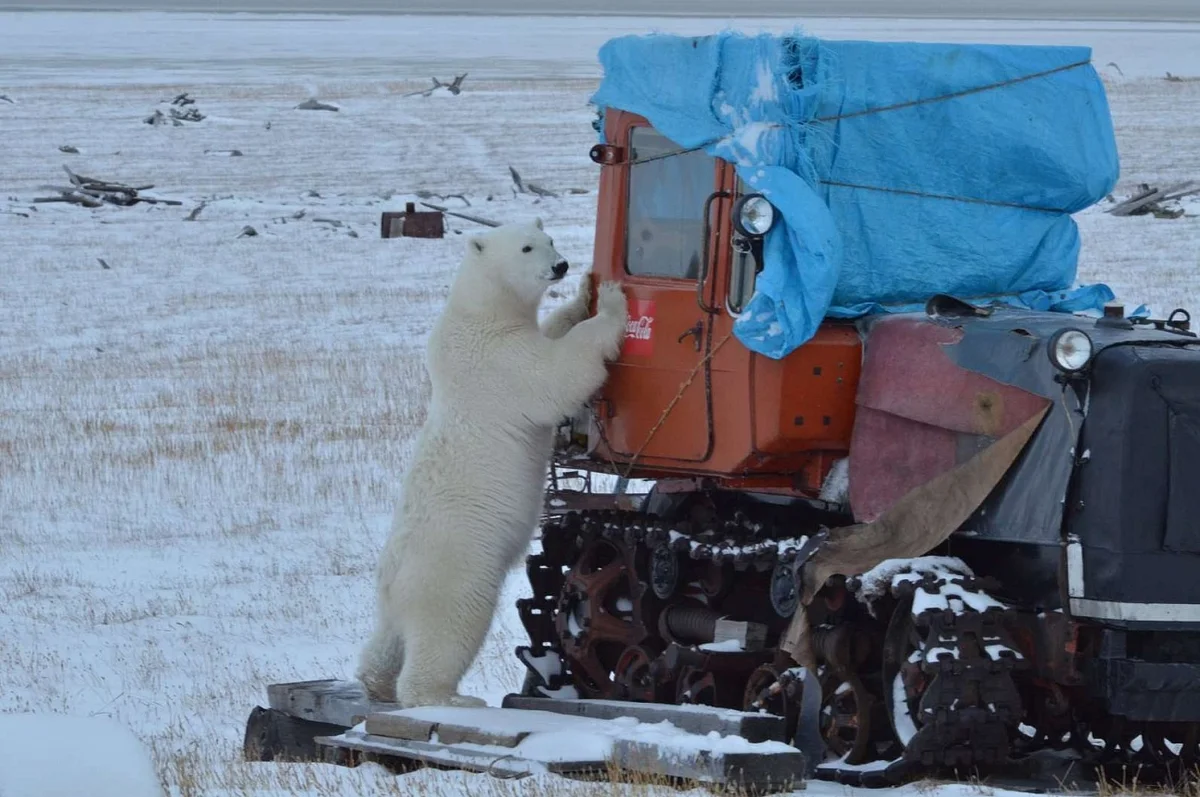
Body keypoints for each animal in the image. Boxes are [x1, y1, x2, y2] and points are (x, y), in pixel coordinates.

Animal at [355, 218, 628, 710]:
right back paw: (446, 697)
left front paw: (582, 295)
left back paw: (375, 682)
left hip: (394, 594)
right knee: (450, 629)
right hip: (456, 570)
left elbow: (552, 335)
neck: (479, 312)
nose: (561, 265)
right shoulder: (497, 359)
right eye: (526, 248)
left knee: (384, 640)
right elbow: (555, 374)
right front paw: (613, 303)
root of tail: (393, 582)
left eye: (549, 240)